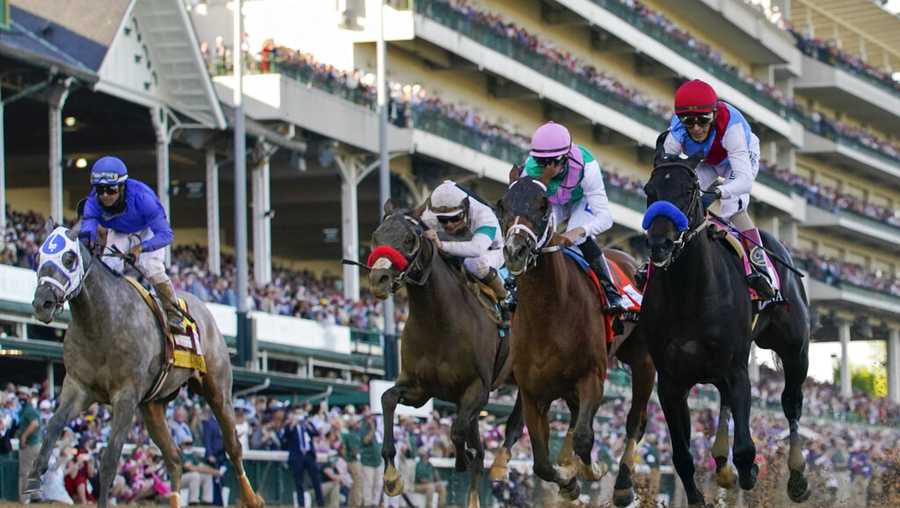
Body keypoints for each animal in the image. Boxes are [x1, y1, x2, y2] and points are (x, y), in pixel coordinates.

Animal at [25, 224, 264, 508]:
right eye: (38, 257)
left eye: (69, 258)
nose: (42, 303)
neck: (101, 324)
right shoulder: (78, 387)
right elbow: (52, 427)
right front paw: (33, 483)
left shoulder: (126, 395)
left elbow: (110, 457)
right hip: (153, 406)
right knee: (174, 457)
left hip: (217, 389)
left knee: (232, 446)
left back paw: (252, 498)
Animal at [368, 201, 520, 508]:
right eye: (376, 236)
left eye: (409, 239)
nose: (378, 279)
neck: (438, 321)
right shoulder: (419, 388)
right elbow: (387, 398)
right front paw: (391, 476)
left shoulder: (477, 389)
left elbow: (457, 432)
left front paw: (461, 460)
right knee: (480, 448)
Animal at [496, 177, 656, 502]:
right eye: (502, 205)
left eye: (543, 207)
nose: (515, 251)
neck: (549, 313)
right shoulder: (532, 392)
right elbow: (541, 463)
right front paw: (568, 481)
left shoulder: (591, 376)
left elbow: (585, 437)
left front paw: (591, 470)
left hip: (643, 361)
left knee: (635, 420)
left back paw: (622, 484)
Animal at [644, 149, 812, 506]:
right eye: (650, 190)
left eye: (689, 191)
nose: (660, 243)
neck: (688, 293)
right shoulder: (670, 382)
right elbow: (682, 454)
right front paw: (699, 494)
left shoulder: (737, 371)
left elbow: (746, 449)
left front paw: (749, 472)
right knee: (722, 401)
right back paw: (721, 464)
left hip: (795, 351)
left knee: (791, 403)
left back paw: (796, 476)